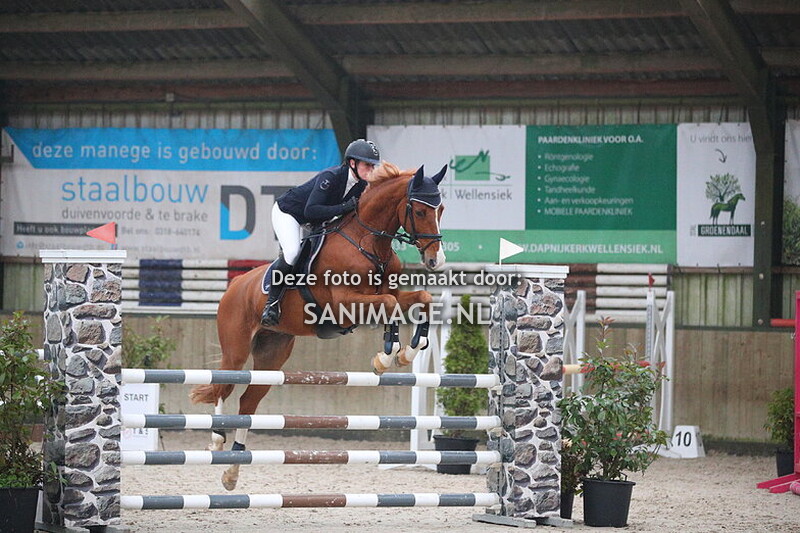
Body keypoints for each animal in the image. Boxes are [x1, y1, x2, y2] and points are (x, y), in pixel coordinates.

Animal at [189, 162, 447, 490]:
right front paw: (387, 356)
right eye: (420, 210)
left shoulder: (384, 295)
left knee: (248, 401)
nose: (436, 260)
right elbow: (389, 303)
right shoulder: (345, 304)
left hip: (272, 356)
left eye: (441, 209)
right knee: (223, 386)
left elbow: (418, 299)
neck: (368, 242)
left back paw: (232, 471)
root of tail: (235, 285)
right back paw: (217, 439)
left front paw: (406, 352)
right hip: (235, 349)